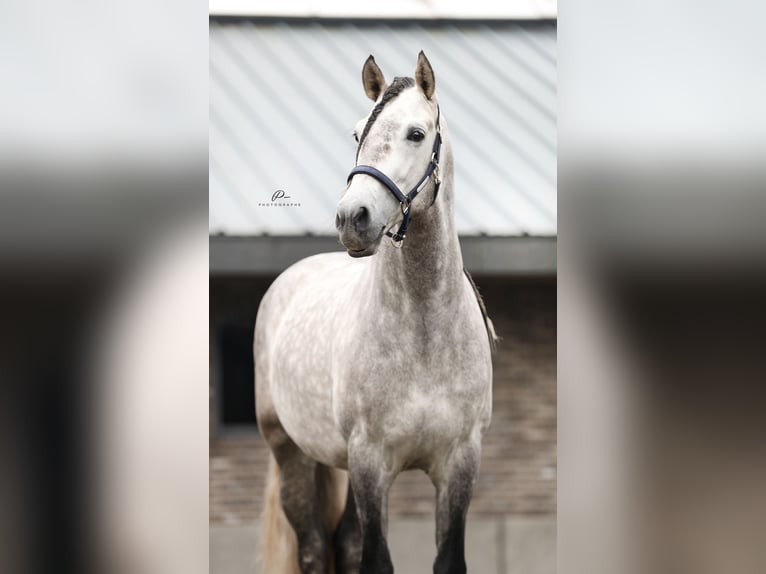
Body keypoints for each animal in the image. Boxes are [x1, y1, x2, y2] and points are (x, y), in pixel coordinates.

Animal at [258, 51, 498, 572]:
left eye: (416, 133)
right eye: (356, 134)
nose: (353, 218)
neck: (424, 335)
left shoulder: (460, 462)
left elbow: (447, 559)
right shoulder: (371, 461)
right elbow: (375, 560)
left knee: (343, 542)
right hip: (291, 452)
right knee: (313, 547)